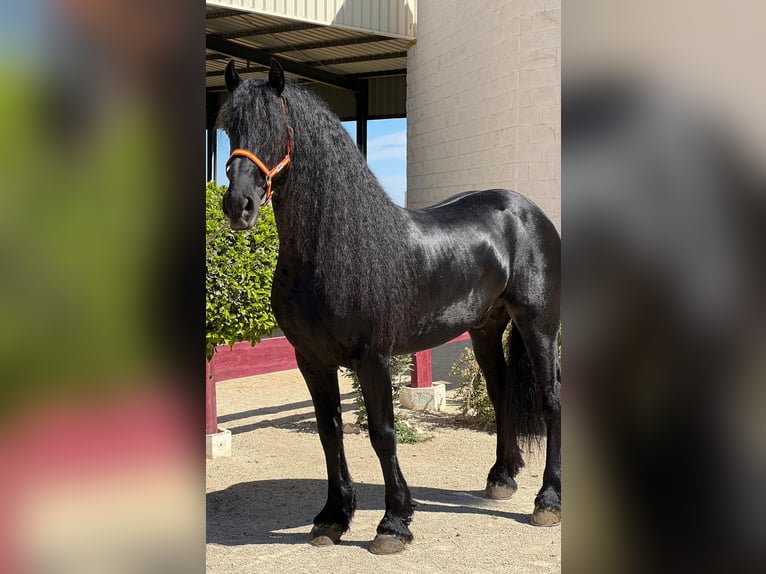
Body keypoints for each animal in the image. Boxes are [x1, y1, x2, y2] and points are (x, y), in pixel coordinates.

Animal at [219, 59, 560, 560]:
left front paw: (394, 522)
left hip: (539, 324)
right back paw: (501, 478)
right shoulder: (311, 359)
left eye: (278, 128)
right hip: (484, 328)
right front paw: (332, 517)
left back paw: (548, 500)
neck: (333, 254)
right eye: (230, 129)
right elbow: (329, 432)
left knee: (551, 399)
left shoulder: (372, 358)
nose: (238, 205)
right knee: (502, 393)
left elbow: (382, 433)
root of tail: (528, 210)